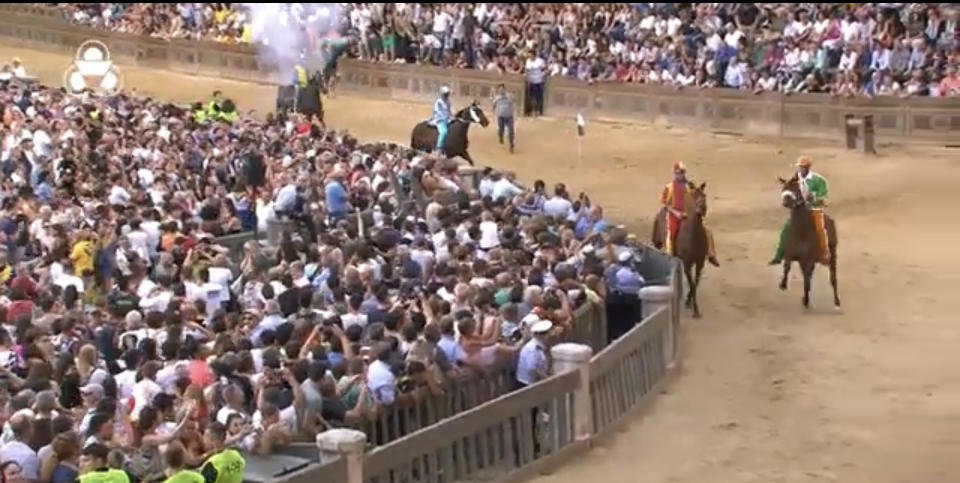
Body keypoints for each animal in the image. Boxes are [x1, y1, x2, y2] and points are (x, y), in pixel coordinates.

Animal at [648, 182, 708, 318]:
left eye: (704, 195)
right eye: (694, 196)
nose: (702, 209)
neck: (694, 238)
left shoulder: (700, 262)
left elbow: (695, 283)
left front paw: (689, 303)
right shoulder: (687, 263)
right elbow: (692, 283)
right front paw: (695, 309)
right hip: (657, 241)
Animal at [776, 177, 836, 310]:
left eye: (796, 189)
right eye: (784, 188)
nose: (786, 202)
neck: (801, 231)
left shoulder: (808, 260)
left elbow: (807, 280)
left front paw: (806, 300)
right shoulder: (791, 254)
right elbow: (787, 266)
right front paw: (782, 284)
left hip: (832, 255)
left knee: (833, 277)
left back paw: (837, 302)